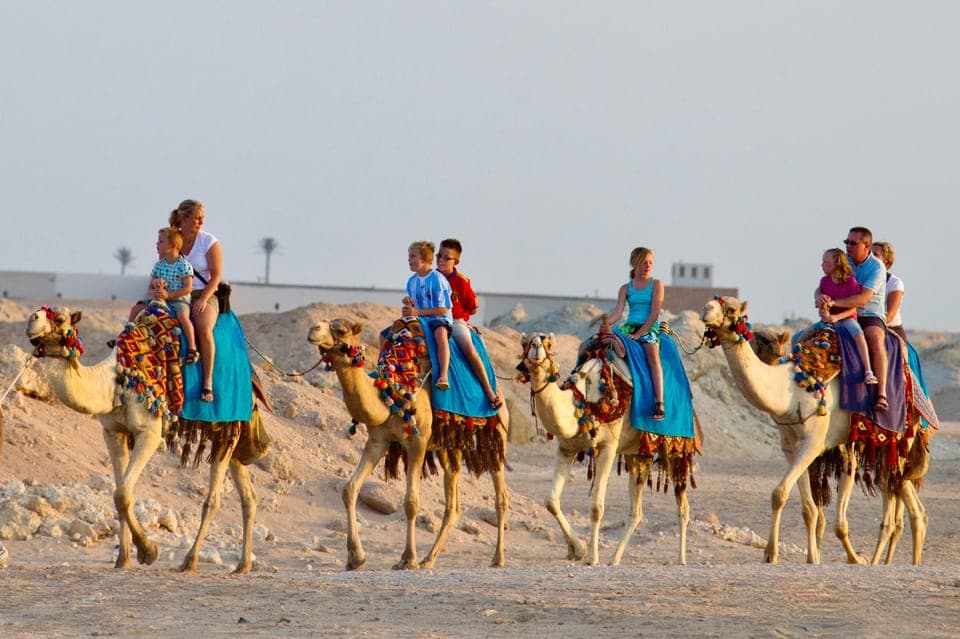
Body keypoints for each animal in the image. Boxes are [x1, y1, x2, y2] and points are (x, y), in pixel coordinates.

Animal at [26, 306, 265, 573]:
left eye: (59, 319)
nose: (32, 319)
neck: (114, 382)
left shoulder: (149, 431)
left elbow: (122, 494)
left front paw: (149, 551)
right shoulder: (113, 432)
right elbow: (120, 493)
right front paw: (124, 559)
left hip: (229, 424)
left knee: (213, 499)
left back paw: (190, 561)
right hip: (228, 434)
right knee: (248, 495)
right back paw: (243, 565)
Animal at [307, 318, 509, 570]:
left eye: (341, 330)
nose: (313, 329)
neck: (391, 392)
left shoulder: (417, 441)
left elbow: (411, 502)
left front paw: (407, 559)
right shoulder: (378, 440)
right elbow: (349, 489)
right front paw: (356, 557)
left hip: (496, 432)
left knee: (501, 496)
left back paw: (497, 558)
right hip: (448, 447)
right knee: (453, 502)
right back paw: (428, 559)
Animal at [517, 331, 695, 566]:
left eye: (548, 343)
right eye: (525, 343)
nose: (536, 346)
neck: (582, 399)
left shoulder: (608, 446)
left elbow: (596, 507)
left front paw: (592, 558)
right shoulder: (566, 447)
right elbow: (551, 501)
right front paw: (577, 549)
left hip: (678, 445)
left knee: (683, 505)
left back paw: (681, 559)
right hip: (637, 454)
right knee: (636, 511)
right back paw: (615, 559)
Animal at [701, 296, 930, 565]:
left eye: (732, 309)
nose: (706, 311)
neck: (792, 390)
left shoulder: (814, 442)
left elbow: (791, 496)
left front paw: (854, 559)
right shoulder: (792, 446)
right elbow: (797, 504)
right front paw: (785, 555)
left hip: (900, 438)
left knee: (900, 502)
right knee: (907, 503)